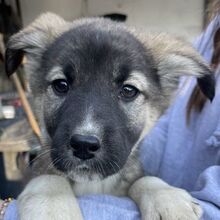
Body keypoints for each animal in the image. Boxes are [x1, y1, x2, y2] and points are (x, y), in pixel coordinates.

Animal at [5, 12, 215, 219]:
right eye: (61, 85)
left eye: (129, 90)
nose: (84, 145)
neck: (92, 185)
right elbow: (48, 178)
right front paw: (53, 207)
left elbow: (144, 179)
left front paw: (168, 198)